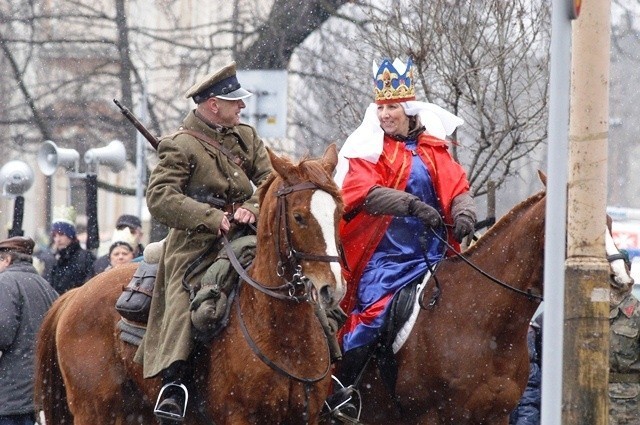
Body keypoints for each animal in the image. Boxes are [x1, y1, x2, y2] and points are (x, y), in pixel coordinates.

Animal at [35, 143, 344, 424]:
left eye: (339, 212)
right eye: (299, 217)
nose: (334, 288)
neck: (284, 333)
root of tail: (75, 293)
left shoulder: (306, 417)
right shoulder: (238, 417)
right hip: (96, 411)